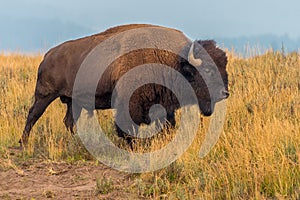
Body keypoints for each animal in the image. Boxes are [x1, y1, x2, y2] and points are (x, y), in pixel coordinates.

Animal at [19, 23, 229, 145]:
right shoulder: (130, 103)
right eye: (208, 71)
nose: (224, 93)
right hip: (44, 95)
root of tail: (48, 55)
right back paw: (23, 142)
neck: (172, 61)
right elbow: (127, 127)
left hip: (72, 100)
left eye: (224, 67)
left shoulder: (163, 105)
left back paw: (77, 142)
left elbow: (166, 125)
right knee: (33, 115)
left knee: (69, 121)